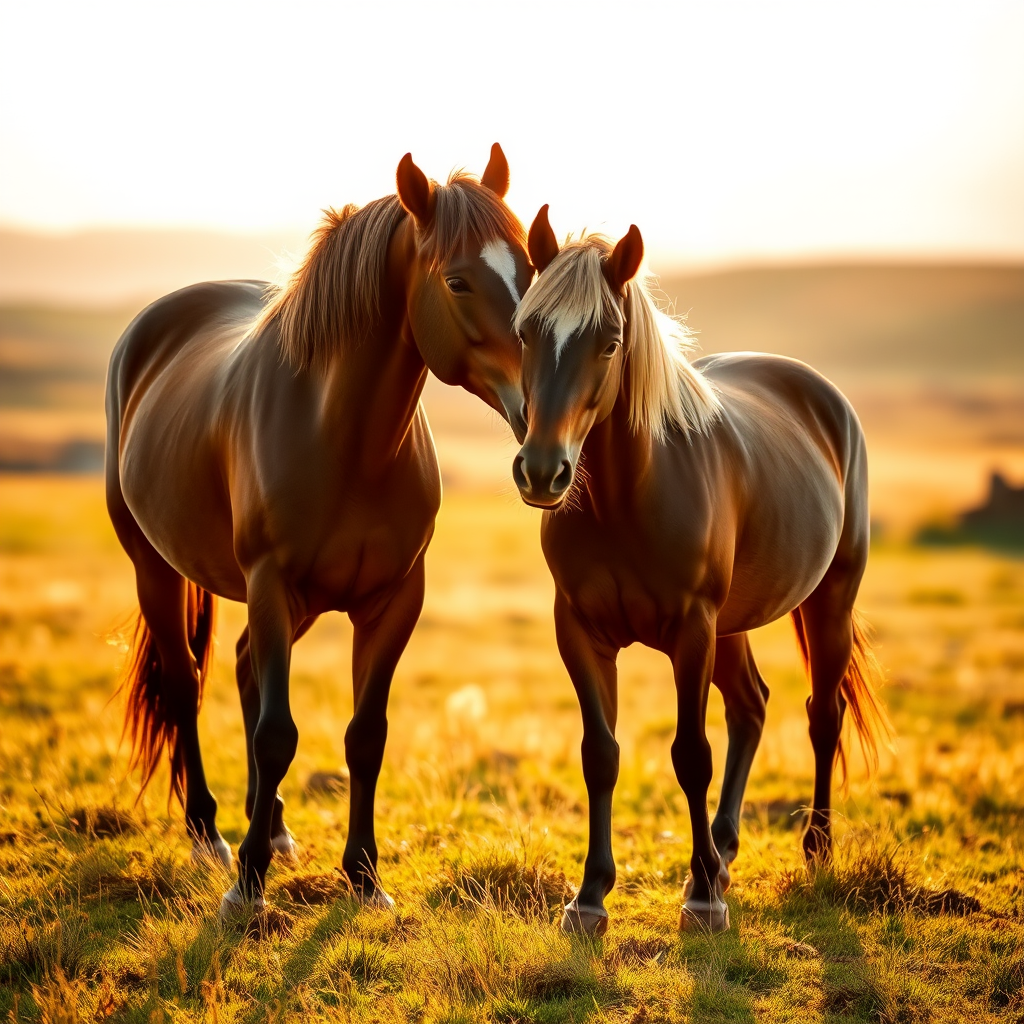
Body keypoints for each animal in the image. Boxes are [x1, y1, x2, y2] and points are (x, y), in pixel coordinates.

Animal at [105, 146, 534, 916]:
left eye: (530, 269)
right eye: (458, 281)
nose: (541, 409)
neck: (343, 436)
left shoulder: (393, 601)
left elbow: (366, 735)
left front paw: (363, 876)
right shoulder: (272, 583)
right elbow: (278, 733)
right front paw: (246, 886)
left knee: (245, 666)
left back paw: (270, 826)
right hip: (157, 567)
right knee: (186, 683)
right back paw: (212, 835)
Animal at [510, 206, 891, 935]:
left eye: (609, 341)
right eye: (523, 332)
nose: (543, 471)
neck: (628, 499)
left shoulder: (691, 630)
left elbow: (691, 755)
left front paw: (704, 899)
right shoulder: (579, 631)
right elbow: (600, 755)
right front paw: (591, 896)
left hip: (827, 601)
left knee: (821, 715)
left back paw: (813, 847)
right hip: (734, 626)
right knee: (751, 707)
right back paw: (722, 849)